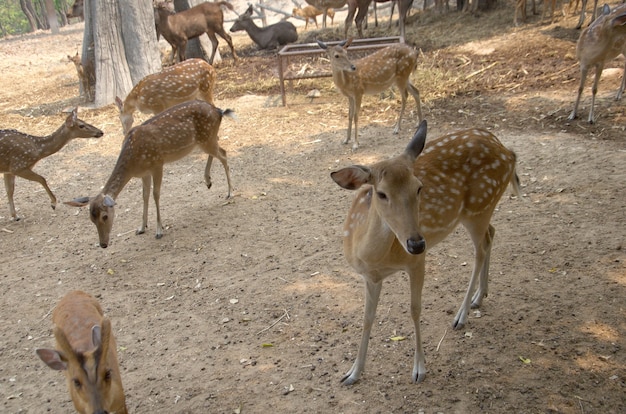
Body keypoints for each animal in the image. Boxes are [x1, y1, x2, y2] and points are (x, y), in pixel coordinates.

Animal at [65, 100, 234, 247]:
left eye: (105, 216)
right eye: (91, 219)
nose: (103, 244)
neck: (133, 163)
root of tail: (218, 111)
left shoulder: (157, 164)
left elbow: (155, 194)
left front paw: (159, 230)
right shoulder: (143, 173)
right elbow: (144, 196)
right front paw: (141, 228)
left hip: (207, 138)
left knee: (224, 154)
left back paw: (230, 192)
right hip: (205, 140)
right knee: (219, 149)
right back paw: (208, 180)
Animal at [330, 119, 520, 384]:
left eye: (419, 187)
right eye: (381, 193)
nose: (416, 243)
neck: (374, 258)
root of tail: (508, 152)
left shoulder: (417, 262)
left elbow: (414, 309)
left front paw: (419, 368)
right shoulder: (369, 277)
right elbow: (367, 318)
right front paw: (352, 373)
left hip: (479, 206)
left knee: (480, 249)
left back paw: (461, 315)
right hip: (482, 210)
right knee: (492, 234)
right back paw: (479, 297)